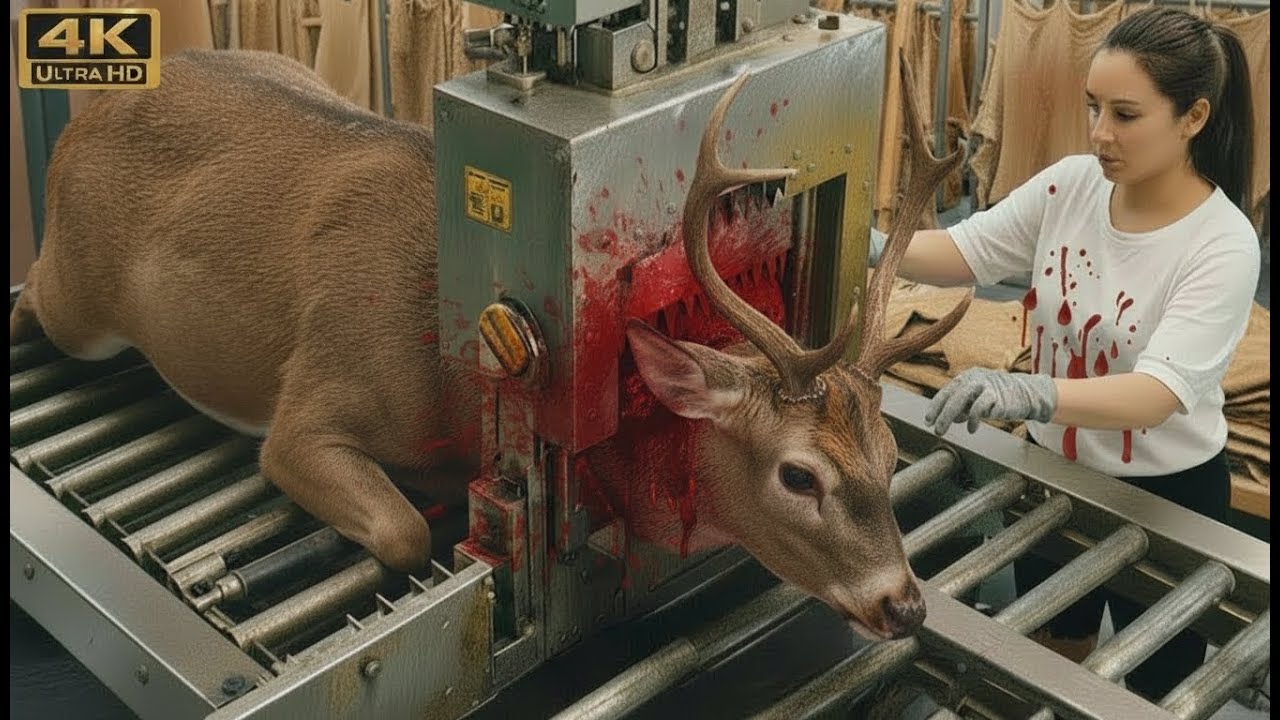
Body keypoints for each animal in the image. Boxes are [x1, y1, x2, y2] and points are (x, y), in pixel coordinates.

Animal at [9, 47, 970, 641]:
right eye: (799, 475)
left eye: (890, 457)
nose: (905, 606)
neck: (456, 385)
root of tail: (87, 115)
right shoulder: (311, 407)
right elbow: (402, 533)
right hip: (75, 299)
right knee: (33, 296)